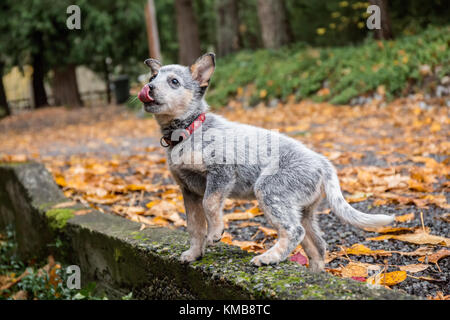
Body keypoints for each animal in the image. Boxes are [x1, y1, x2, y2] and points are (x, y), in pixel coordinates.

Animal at [138, 53, 394, 272]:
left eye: (174, 81)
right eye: (152, 77)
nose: (148, 88)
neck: (188, 132)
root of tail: (322, 162)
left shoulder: (221, 173)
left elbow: (210, 205)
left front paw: (216, 233)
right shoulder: (188, 190)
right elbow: (194, 226)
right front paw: (194, 253)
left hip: (269, 189)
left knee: (294, 232)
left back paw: (268, 257)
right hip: (303, 209)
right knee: (317, 245)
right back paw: (315, 273)